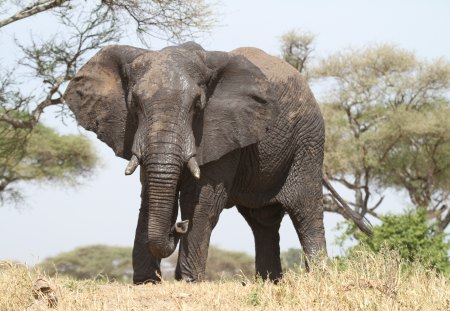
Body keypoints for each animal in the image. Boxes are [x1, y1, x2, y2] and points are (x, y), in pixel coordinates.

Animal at [64, 42, 372, 286]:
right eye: (135, 104)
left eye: (197, 106)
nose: (177, 226)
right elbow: (149, 195)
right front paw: (146, 283)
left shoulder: (220, 130)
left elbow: (201, 201)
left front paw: (189, 282)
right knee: (263, 221)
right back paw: (269, 282)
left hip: (309, 139)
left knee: (305, 208)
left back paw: (319, 278)